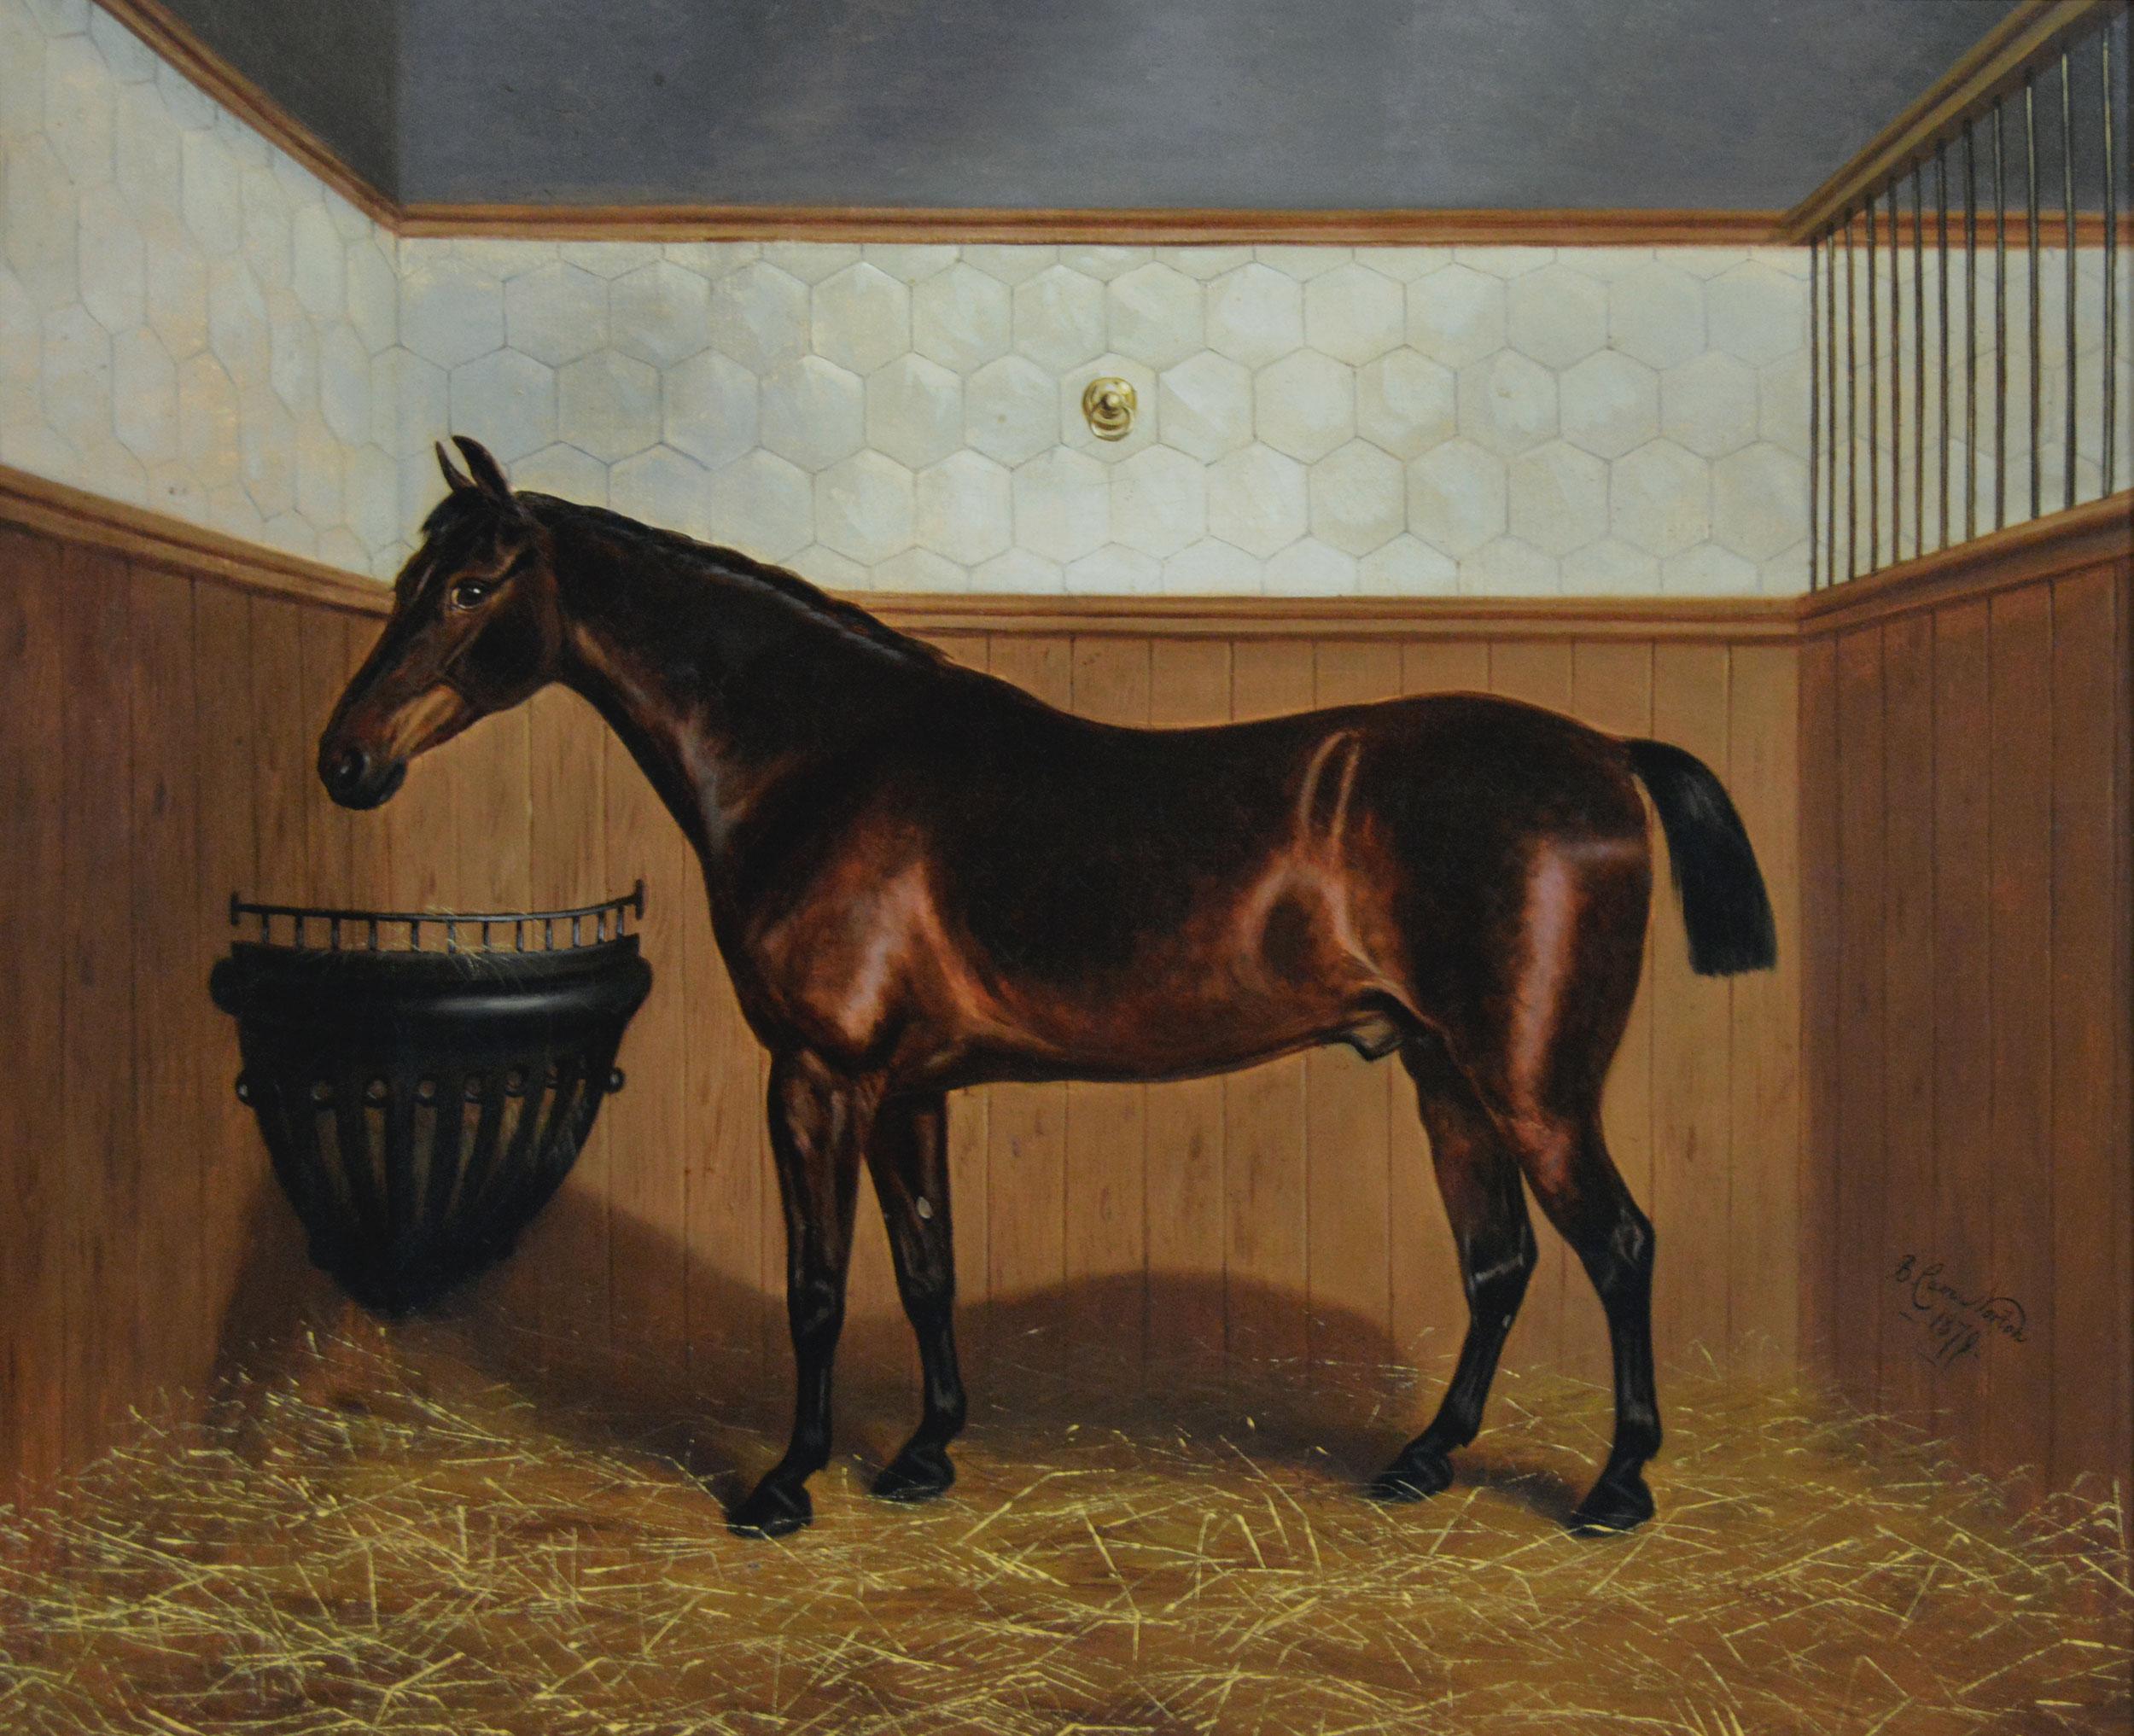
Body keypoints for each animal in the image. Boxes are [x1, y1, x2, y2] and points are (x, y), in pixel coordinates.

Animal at [320, 436, 1776, 1539]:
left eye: (472, 584)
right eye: (408, 577)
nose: (345, 760)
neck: (820, 761)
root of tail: (1605, 752)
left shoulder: (818, 1078)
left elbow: (817, 1282)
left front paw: (786, 1483)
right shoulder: (908, 1089)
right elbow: (924, 1267)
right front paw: (921, 1456)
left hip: (1532, 1086)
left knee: (1617, 1244)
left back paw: (1616, 1487)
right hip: (1446, 1078)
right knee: (1500, 1261)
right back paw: (1422, 1461)